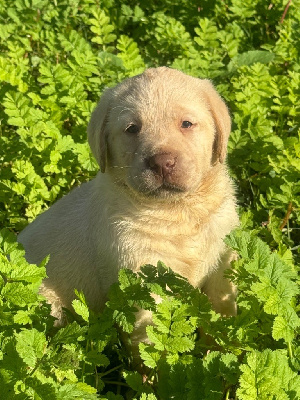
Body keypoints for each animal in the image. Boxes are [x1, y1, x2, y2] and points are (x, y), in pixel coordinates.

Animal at [18, 66, 239, 328]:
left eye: (186, 123)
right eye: (132, 128)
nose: (162, 162)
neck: (175, 211)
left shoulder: (224, 257)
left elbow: (223, 308)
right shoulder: (141, 277)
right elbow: (149, 330)